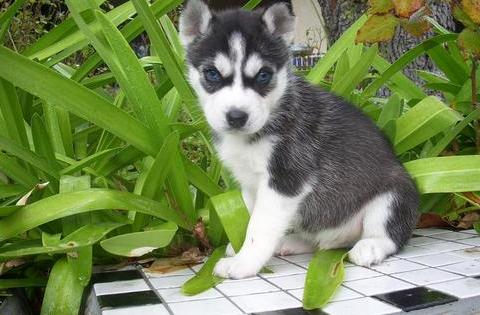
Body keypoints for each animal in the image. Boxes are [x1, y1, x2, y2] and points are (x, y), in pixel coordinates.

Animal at [178, 1, 418, 280]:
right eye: (212, 74)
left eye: (263, 75)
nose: (237, 116)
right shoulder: (251, 184)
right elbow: (251, 218)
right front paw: (242, 250)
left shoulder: (286, 180)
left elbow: (259, 227)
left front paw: (244, 262)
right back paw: (290, 243)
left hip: (393, 194)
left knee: (389, 235)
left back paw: (370, 246)